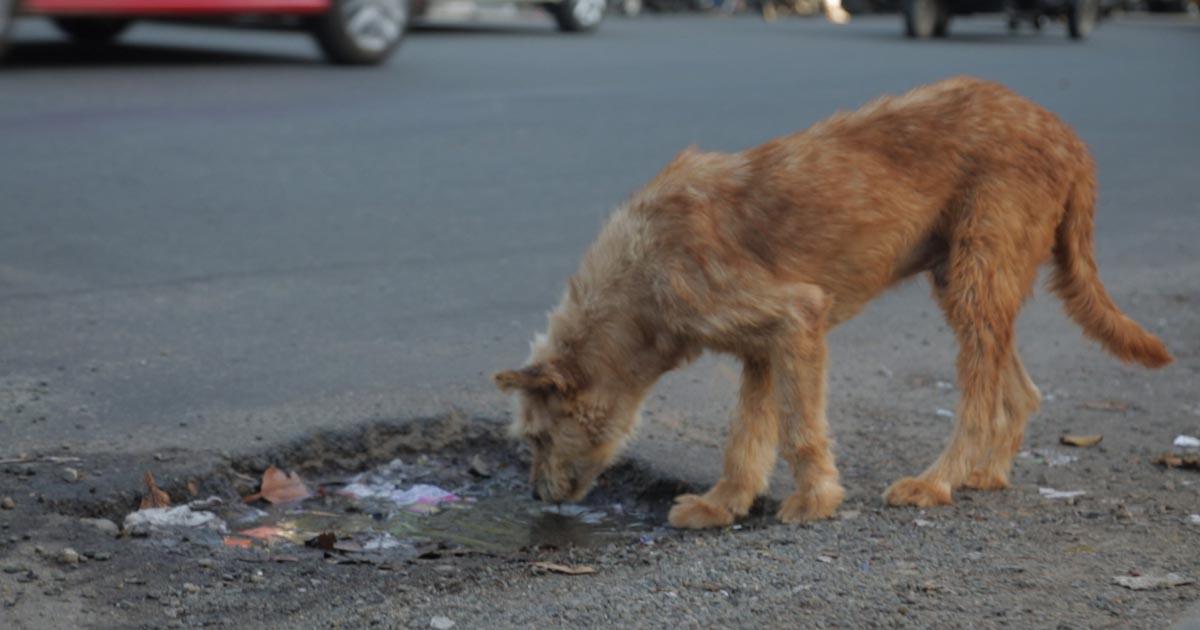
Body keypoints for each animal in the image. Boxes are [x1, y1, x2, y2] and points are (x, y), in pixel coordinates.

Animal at [489, 75, 1171, 525]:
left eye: (537, 438)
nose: (534, 497)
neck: (642, 270)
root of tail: (1066, 135)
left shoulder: (796, 319)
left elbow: (799, 429)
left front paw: (815, 499)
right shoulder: (761, 350)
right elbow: (747, 437)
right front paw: (723, 504)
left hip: (978, 274)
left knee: (979, 399)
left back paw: (938, 482)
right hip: (967, 281)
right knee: (1020, 389)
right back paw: (987, 473)